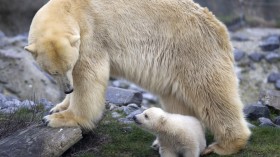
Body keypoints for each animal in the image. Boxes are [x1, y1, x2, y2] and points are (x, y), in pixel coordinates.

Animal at [25, 0, 250, 155]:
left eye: (68, 66)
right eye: (52, 71)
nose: (67, 89)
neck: (70, 8)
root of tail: (220, 28)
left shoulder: (91, 35)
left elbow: (88, 76)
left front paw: (58, 118)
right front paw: (58, 106)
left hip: (193, 51)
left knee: (211, 93)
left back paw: (225, 144)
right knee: (178, 100)